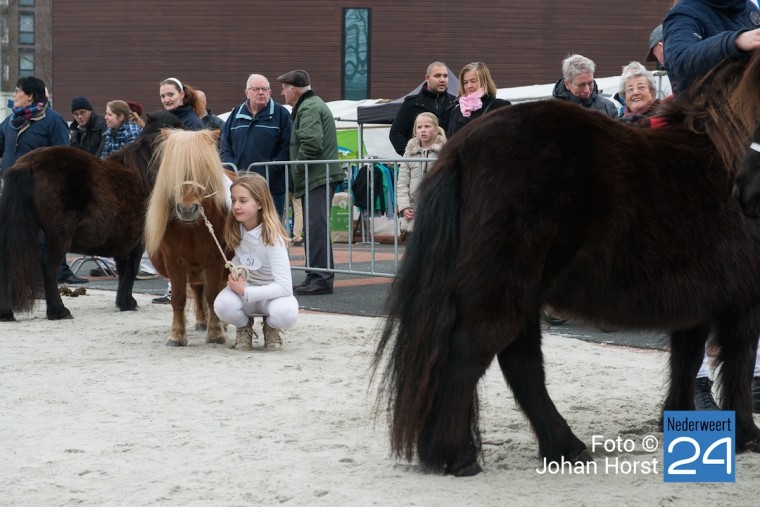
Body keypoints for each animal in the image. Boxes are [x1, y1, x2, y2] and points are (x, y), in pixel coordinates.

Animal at [0, 111, 184, 322]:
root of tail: (28, 164)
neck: (144, 171)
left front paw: (123, 302)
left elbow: (124, 270)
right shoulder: (137, 242)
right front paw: (128, 302)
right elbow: (131, 269)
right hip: (58, 235)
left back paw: (6, 313)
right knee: (49, 267)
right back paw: (59, 310)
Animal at [145, 129, 233, 348]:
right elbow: (178, 297)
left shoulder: (215, 260)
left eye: (203, 171)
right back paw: (202, 321)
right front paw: (176, 335)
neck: (191, 228)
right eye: (173, 171)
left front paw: (216, 333)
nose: (187, 209)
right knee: (197, 288)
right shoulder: (174, 261)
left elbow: (213, 295)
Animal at [376, 49, 760, 478]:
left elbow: (687, 361)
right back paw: (458, 456)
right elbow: (739, 364)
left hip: (521, 293)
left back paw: (562, 446)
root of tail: (462, 148)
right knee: (471, 354)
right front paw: (748, 435)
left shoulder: (696, 301)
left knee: (520, 364)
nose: (744, 193)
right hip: (503, 288)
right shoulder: (743, 302)